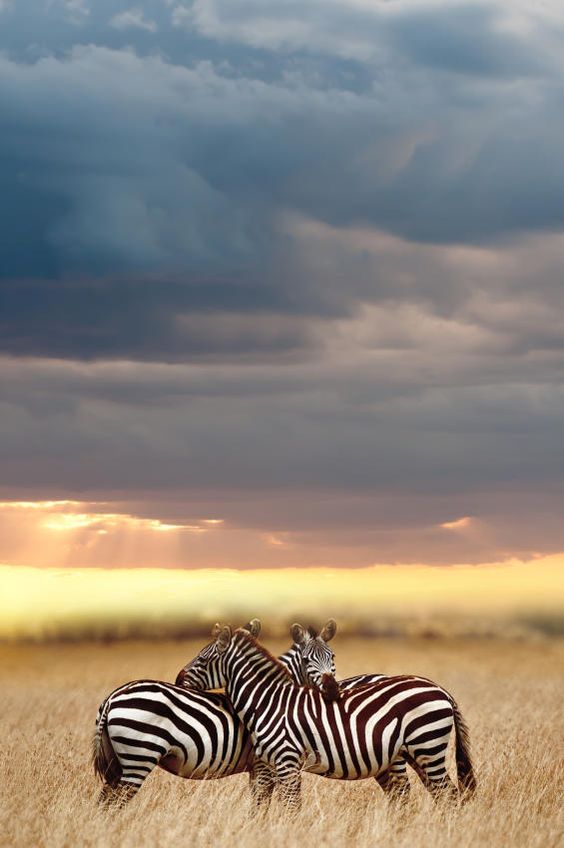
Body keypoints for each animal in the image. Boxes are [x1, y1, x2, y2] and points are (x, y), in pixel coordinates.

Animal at [92, 619, 335, 807]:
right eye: (306, 660)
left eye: (332, 658)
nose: (332, 687)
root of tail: (112, 698)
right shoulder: (264, 764)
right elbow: (262, 802)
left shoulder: (258, 767)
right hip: (139, 756)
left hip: (118, 762)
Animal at [182, 624, 476, 810]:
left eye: (202, 659)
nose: (178, 677)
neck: (269, 700)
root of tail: (440, 689)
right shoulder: (269, 763)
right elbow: (267, 804)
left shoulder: (284, 761)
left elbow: (288, 806)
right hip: (413, 753)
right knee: (428, 796)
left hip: (426, 745)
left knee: (447, 796)